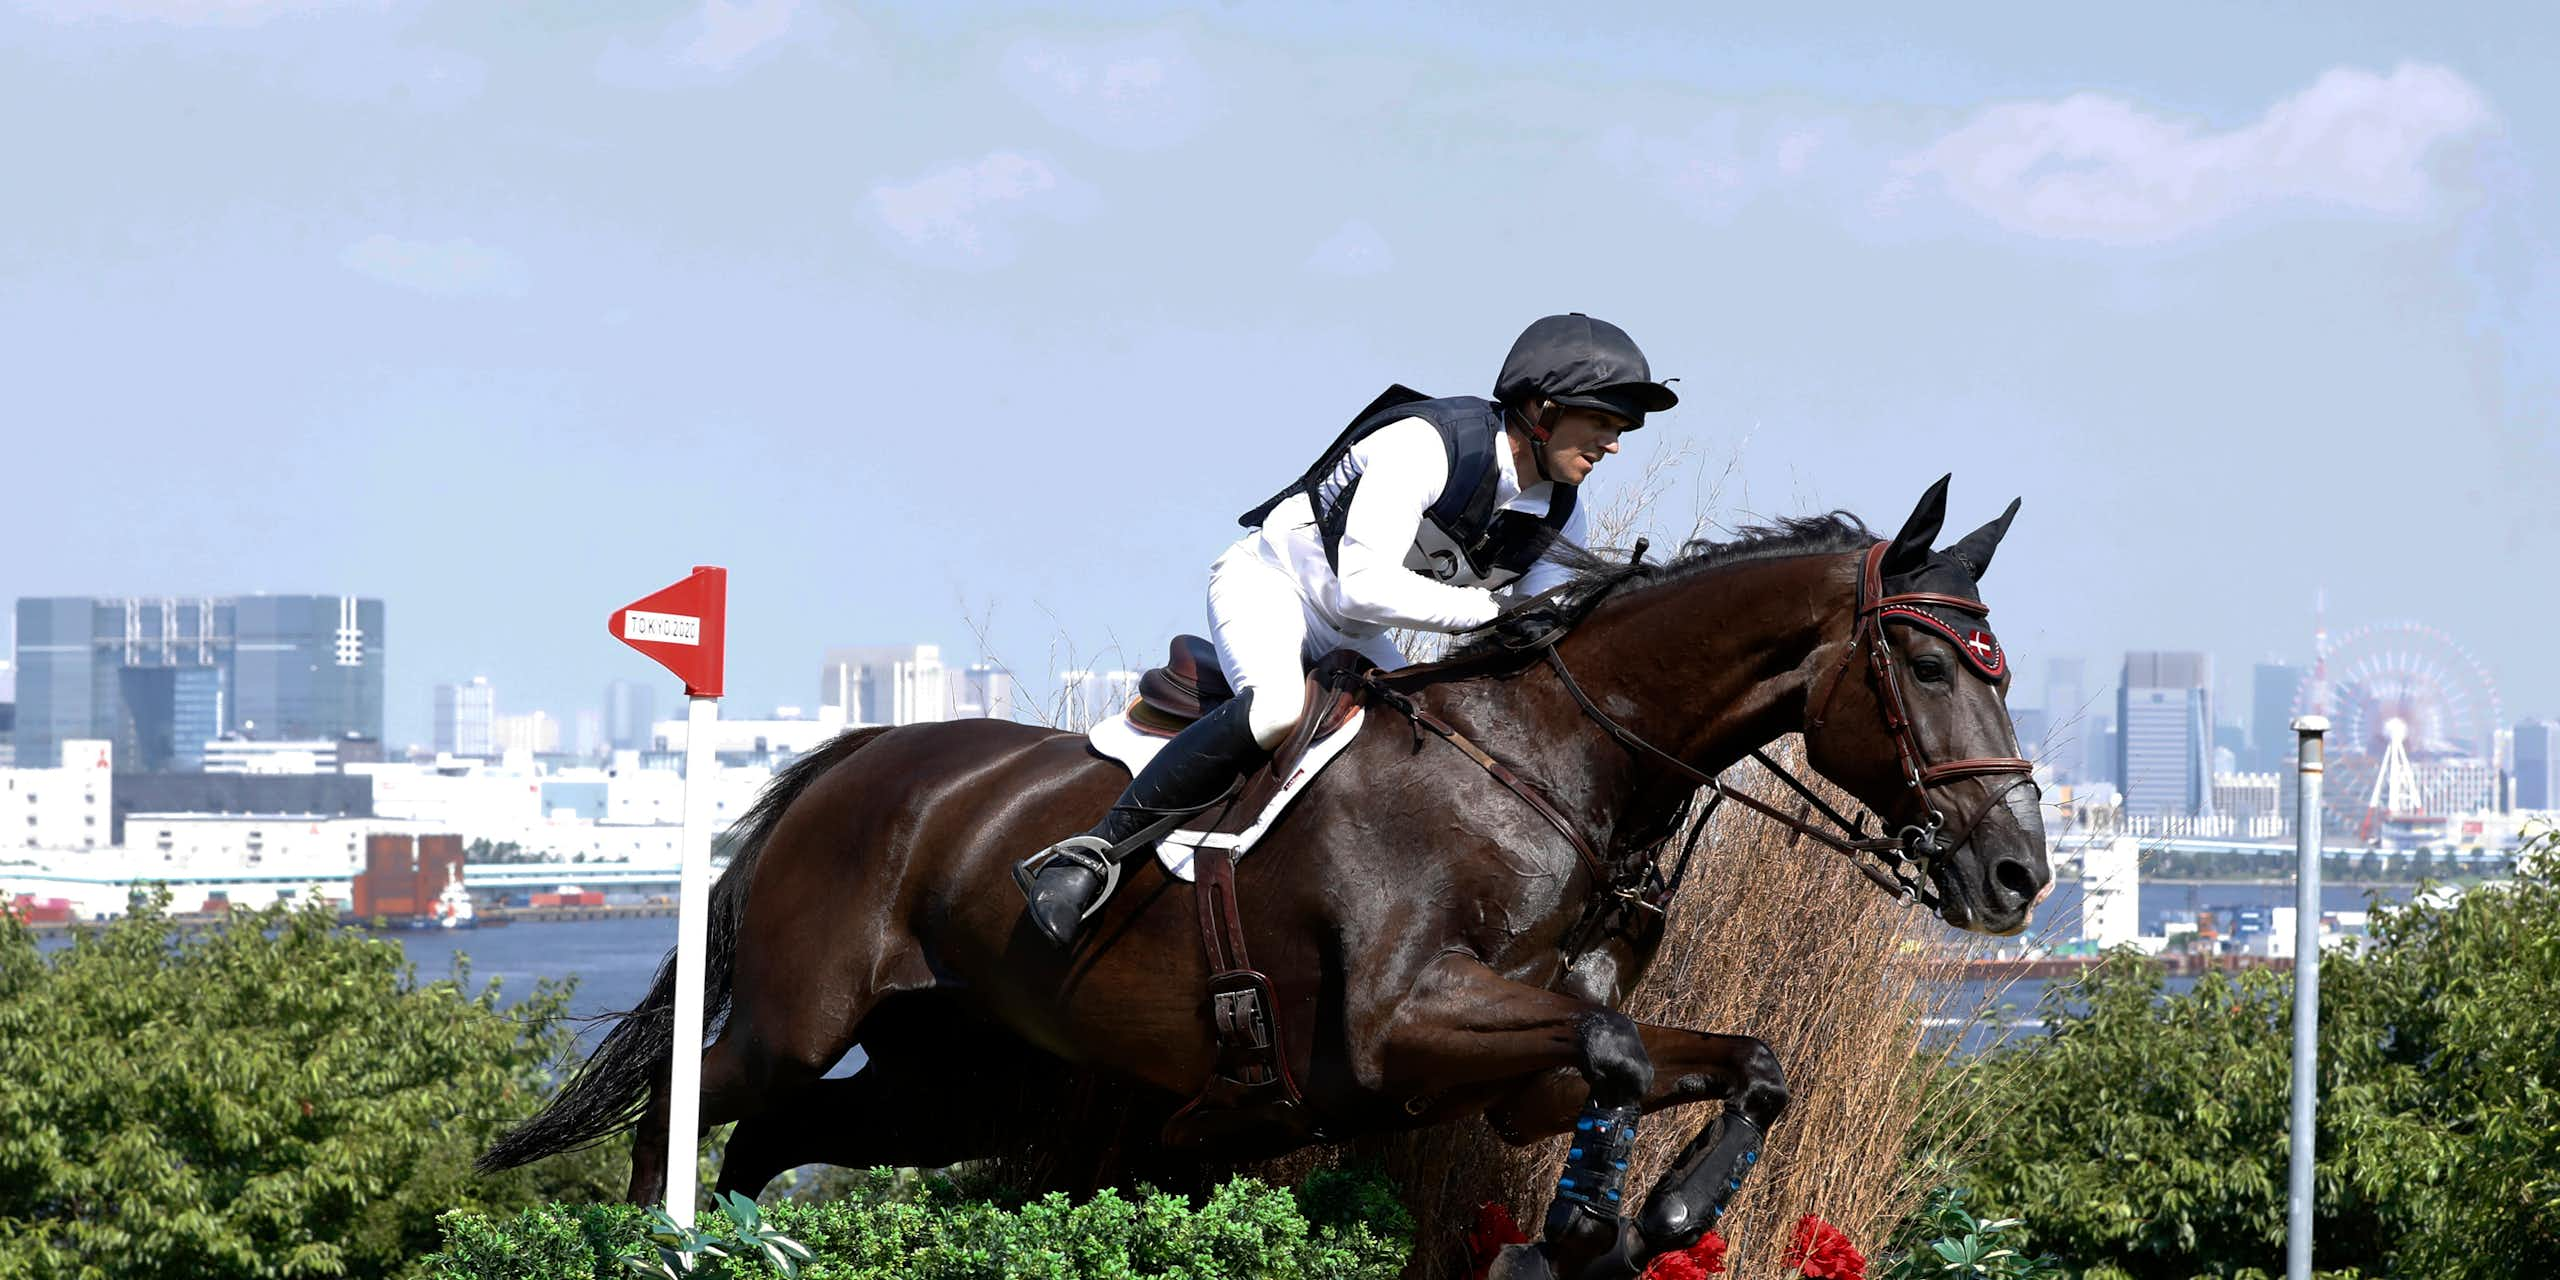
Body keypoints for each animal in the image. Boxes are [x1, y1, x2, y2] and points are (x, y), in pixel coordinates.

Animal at [481, 476, 2048, 1274]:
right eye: (1923, 667)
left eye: (1999, 664)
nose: (2018, 871)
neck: (1547, 761)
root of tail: (857, 755)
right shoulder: (1397, 1025)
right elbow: (1613, 1043)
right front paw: (1630, 1219)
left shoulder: (1523, 1062)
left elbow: (1718, 1057)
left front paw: (1640, 1216)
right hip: (798, 1016)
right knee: (689, 1107)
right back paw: (655, 1243)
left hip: (955, 1080)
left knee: (779, 1140)